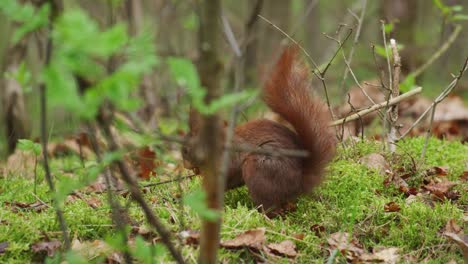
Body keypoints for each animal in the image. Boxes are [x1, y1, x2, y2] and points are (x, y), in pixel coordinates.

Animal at [182, 46, 336, 214]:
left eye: (186, 150)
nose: (185, 165)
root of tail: (300, 182)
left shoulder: (227, 159)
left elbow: (224, 178)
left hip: (259, 169)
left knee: (271, 208)